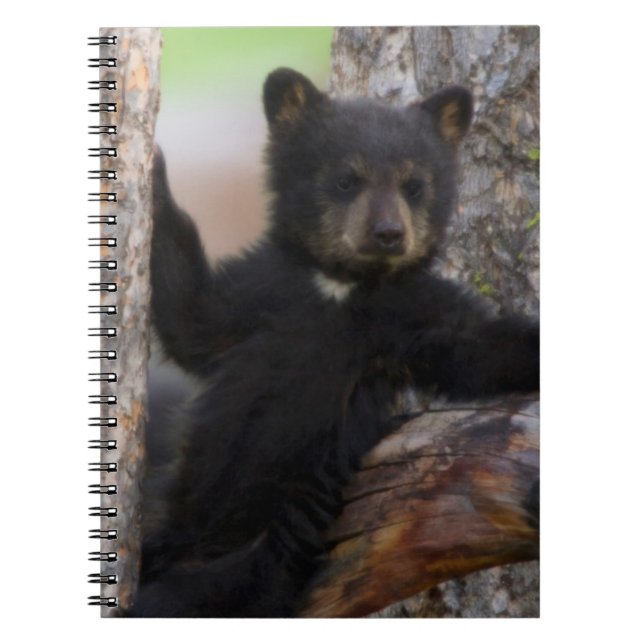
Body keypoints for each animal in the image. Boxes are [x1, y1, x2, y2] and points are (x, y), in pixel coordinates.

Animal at [132, 68, 539, 617]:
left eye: (414, 185)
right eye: (347, 179)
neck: (341, 286)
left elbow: (479, 348)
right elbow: (192, 317)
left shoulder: (413, 314)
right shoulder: (262, 293)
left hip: (255, 559)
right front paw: (152, 170)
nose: (389, 233)